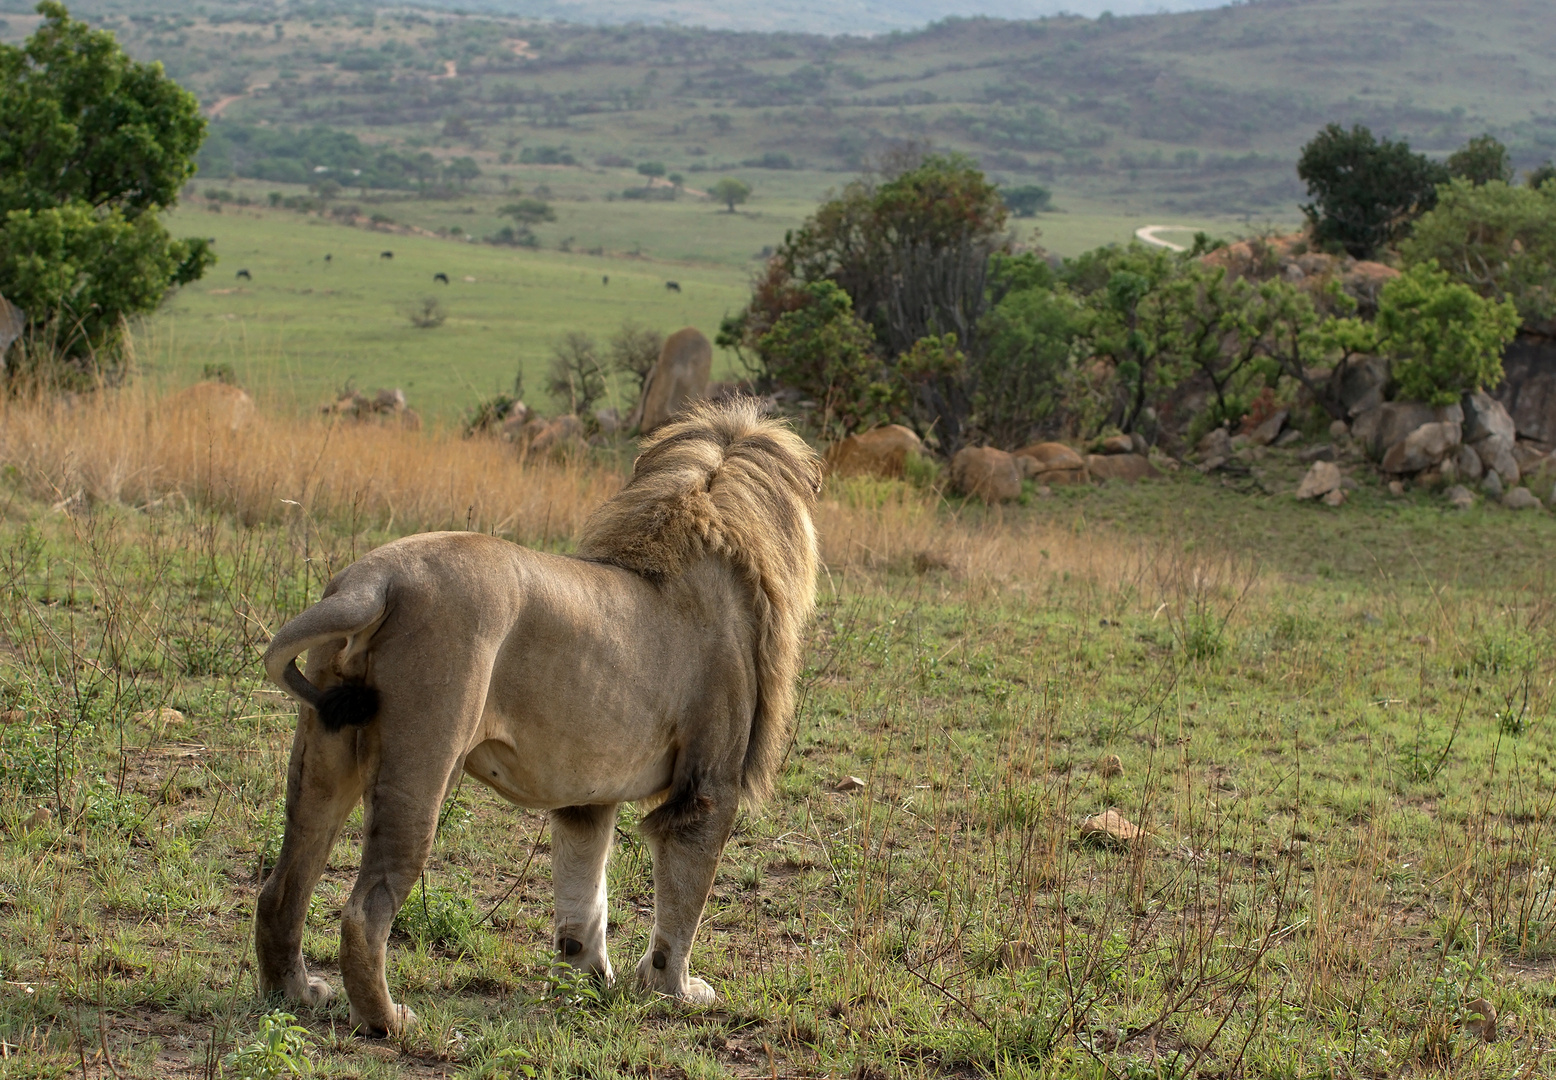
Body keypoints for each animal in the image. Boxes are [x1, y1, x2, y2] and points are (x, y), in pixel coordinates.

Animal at [252, 398, 827, 1039]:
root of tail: (375, 581)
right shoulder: (708, 789)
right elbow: (683, 906)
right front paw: (674, 992)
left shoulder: (588, 792)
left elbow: (584, 895)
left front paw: (588, 980)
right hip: (422, 761)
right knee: (364, 910)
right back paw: (389, 1020)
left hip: (324, 754)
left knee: (282, 887)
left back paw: (296, 992)